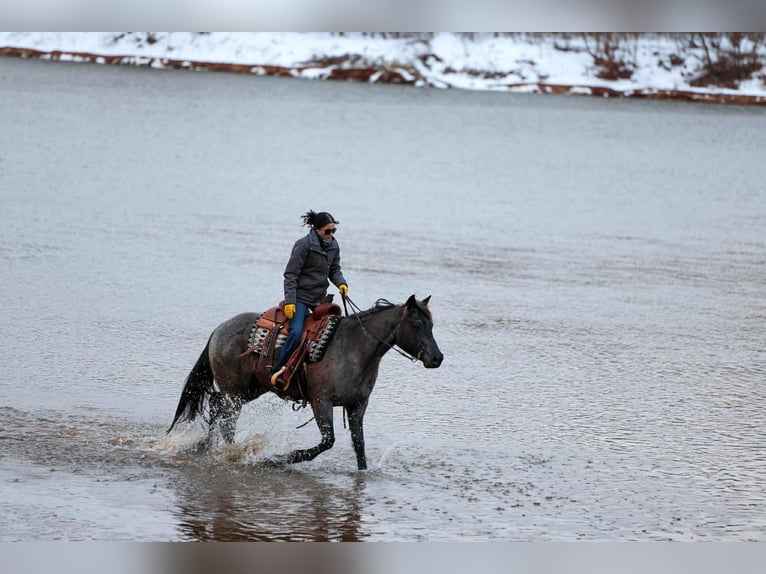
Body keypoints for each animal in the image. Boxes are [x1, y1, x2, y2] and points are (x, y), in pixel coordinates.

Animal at [167, 295, 443, 470]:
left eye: (431, 324)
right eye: (416, 324)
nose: (437, 358)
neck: (355, 348)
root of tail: (219, 329)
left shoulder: (358, 405)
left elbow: (359, 444)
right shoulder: (321, 402)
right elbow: (327, 442)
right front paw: (279, 458)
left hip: (249, 389)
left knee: (216, 406)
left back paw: (211, 449)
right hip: (235, 390)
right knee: (226, 416)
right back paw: (229, 451)